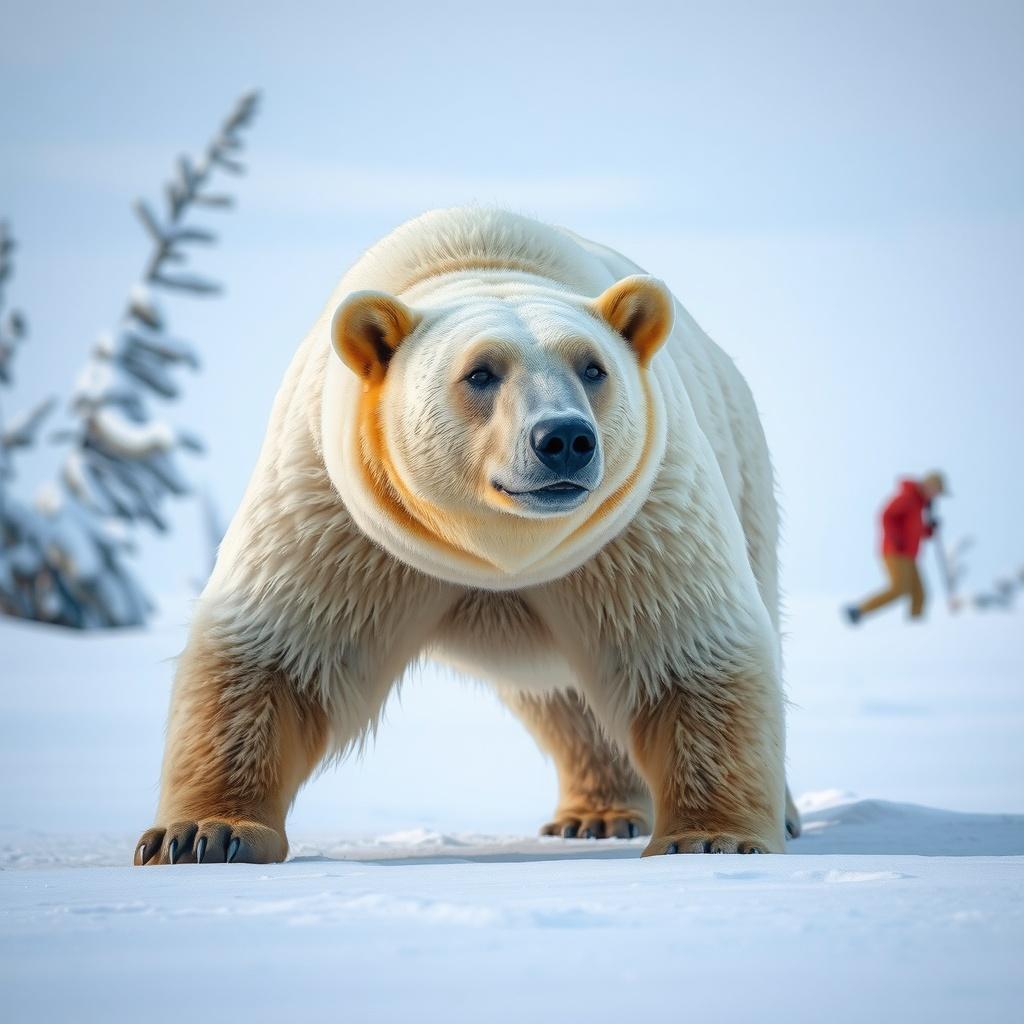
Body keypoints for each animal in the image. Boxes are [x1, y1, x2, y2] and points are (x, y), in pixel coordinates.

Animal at [135, 207, 800, 866]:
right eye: (480, 373)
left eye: (594, 367)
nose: (564, 438)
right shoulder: (337, 513)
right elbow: (279, 649)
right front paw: (202, 834)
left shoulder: (638, 521)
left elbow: (685, 651)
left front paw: (709, 838)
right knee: (559, 697)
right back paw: (596, 814)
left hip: (743, 476)